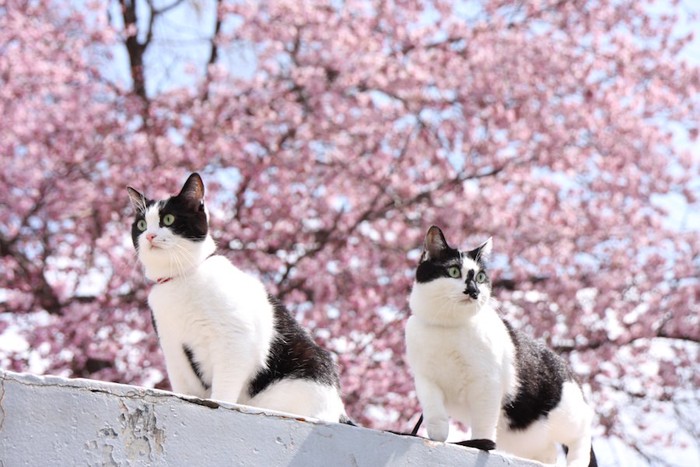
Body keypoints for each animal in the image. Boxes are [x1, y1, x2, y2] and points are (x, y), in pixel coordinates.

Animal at [126, 174, 350, 422]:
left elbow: (225, 386)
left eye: (168, 219)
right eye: (141, 225)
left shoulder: (235, 336)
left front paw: (216, 405)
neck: (180, 280)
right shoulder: (173, 346)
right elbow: (184, 386)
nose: (150, 236)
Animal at [404, 225, 596, 466]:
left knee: (583, 431)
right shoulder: (425, 379)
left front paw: (480, 445)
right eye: (454, 272)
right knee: (548, 453)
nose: (474, 291)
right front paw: (436, 437)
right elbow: (433, 410)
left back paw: (577, 460)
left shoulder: (487, 383)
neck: (449, 327)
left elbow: (484, 423)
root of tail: (569, 370)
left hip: (565, 412)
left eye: (480, 277)